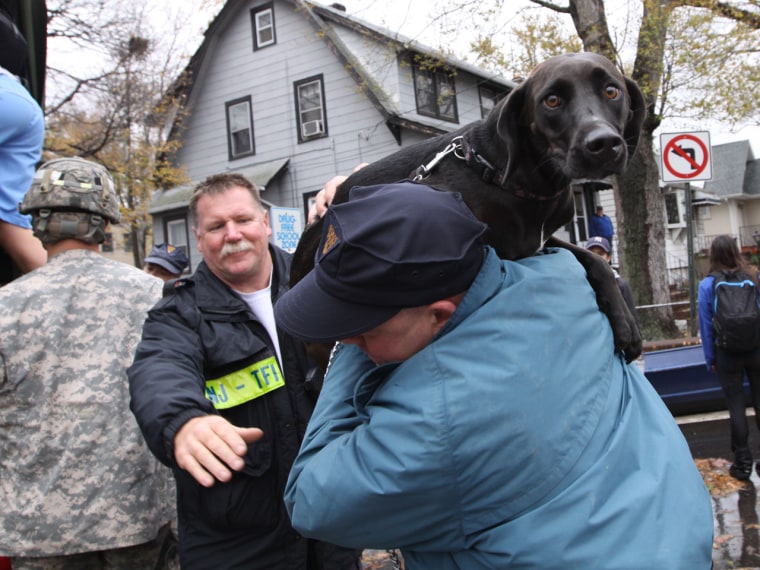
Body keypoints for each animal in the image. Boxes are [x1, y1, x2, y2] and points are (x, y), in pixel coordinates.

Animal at [294, 53, 644, 362]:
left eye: (612, 91)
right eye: (552, 100)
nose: (603, 144)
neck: (501, 175)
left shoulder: (538, 241)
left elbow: (593, 259)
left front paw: (625, 322)